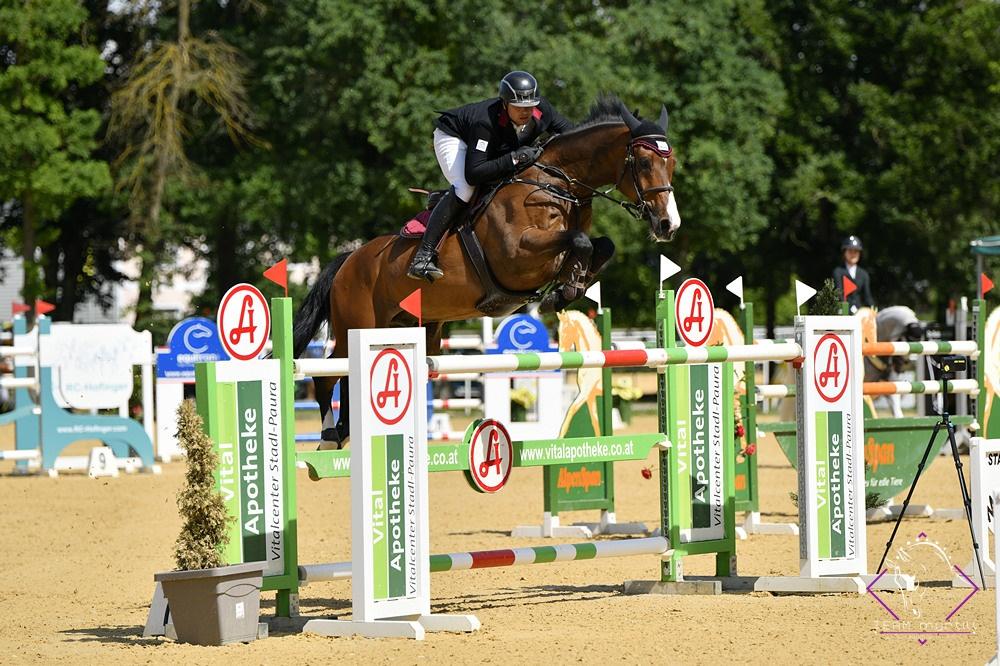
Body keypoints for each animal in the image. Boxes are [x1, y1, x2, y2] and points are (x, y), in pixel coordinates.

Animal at [290, 93, 680, 446]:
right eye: (644, 163)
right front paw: (562, 291)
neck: (557, 184)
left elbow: (600, 245)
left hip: (415, 330)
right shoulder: (518, 254)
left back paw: (345, 432)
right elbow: (580, 241)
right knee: (329, 374)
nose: (668, 225)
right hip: (357, 325)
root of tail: (349, 260)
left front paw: (570, 287)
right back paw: (329, 436)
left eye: (672, 162)